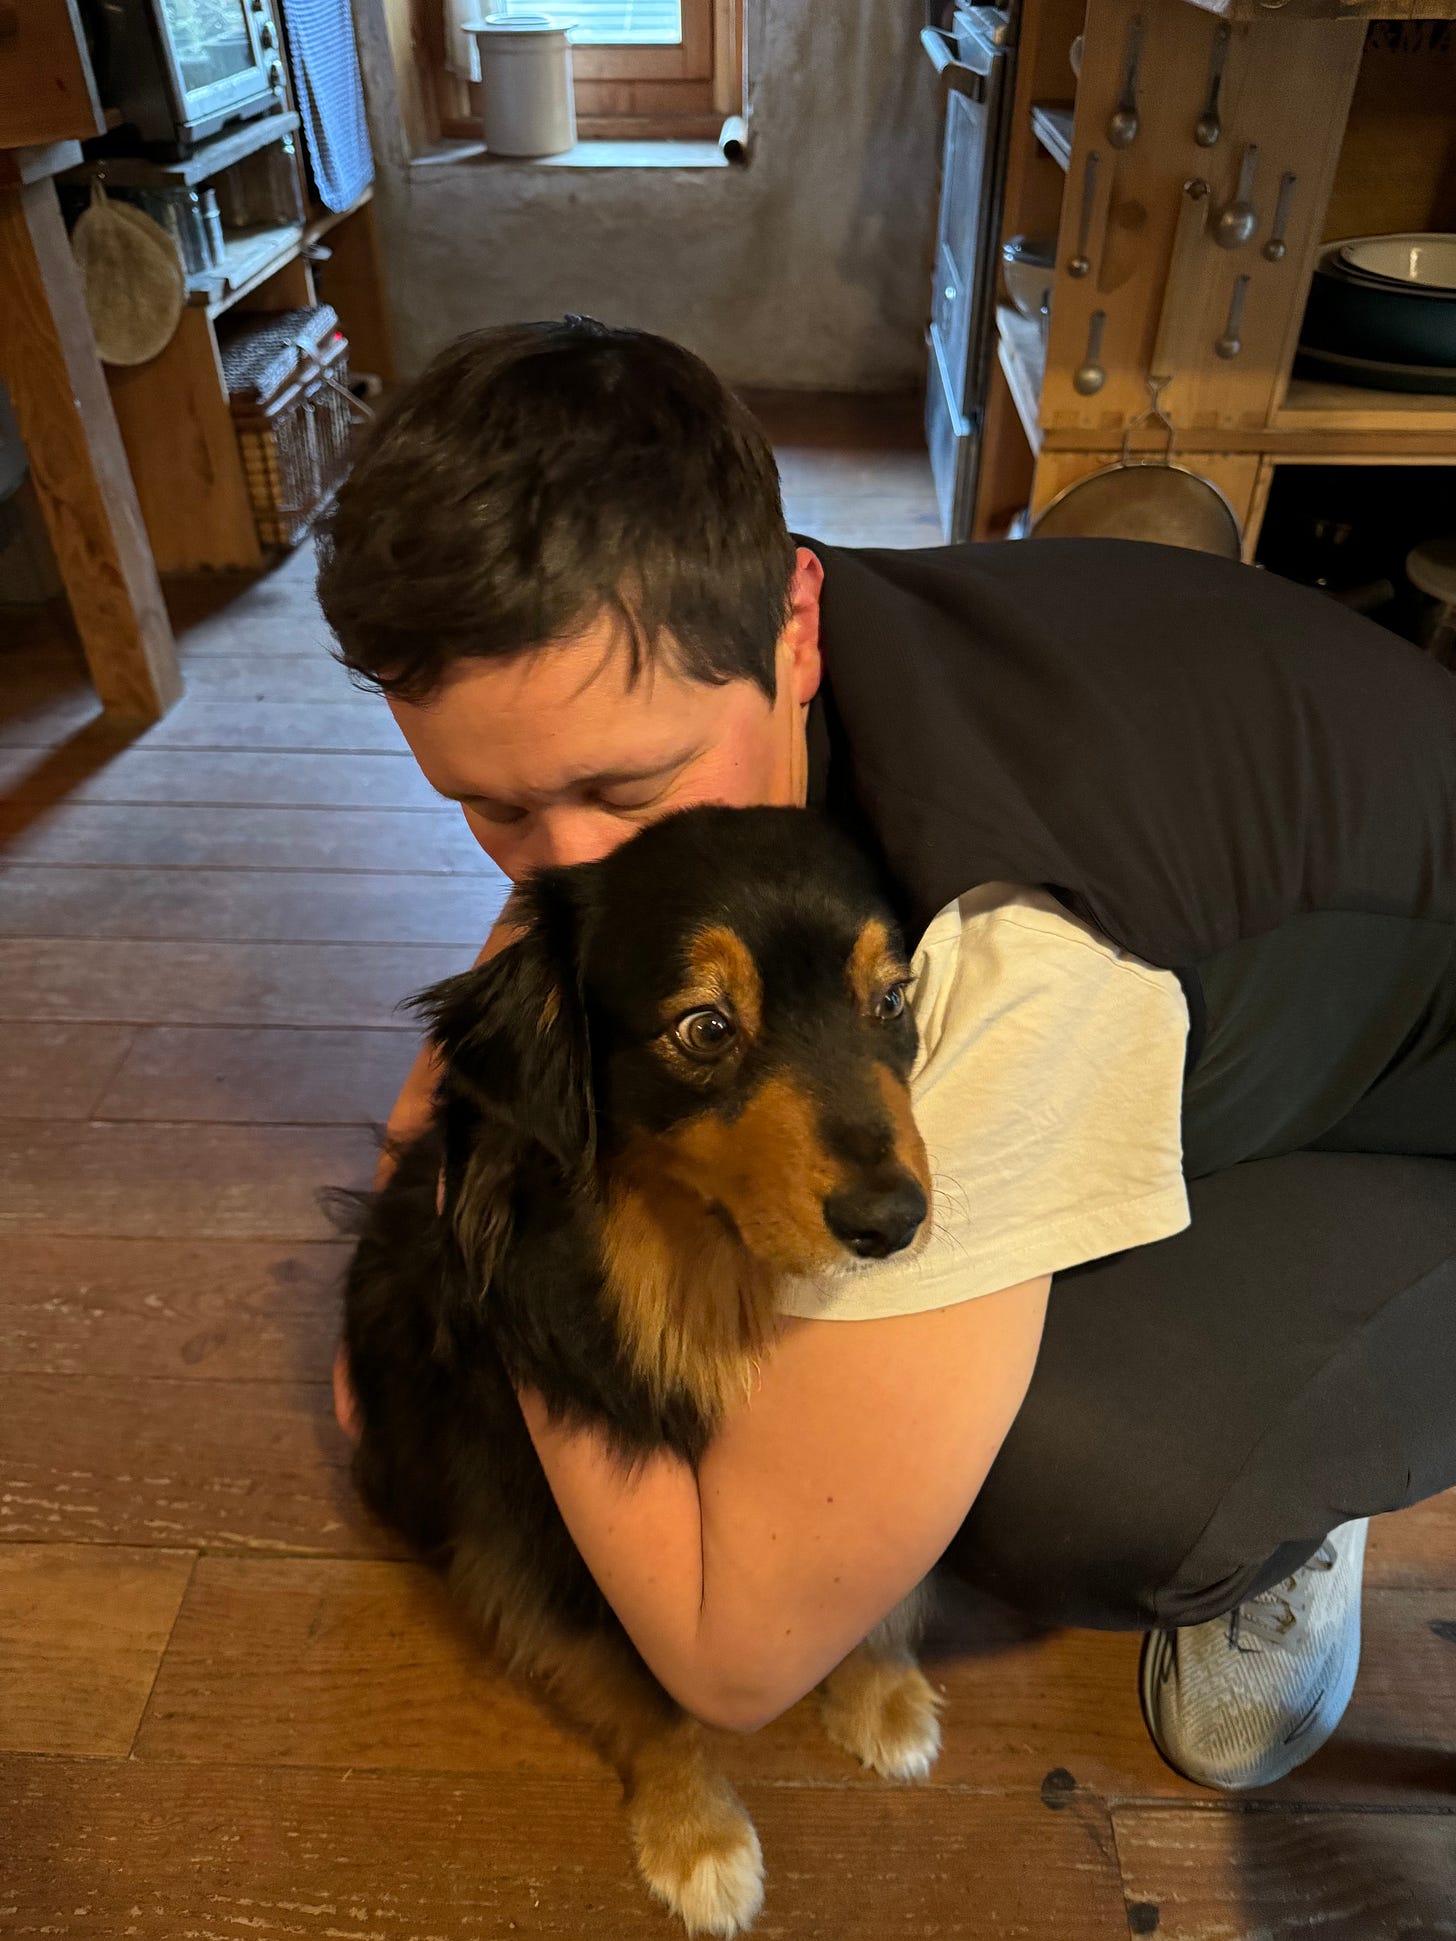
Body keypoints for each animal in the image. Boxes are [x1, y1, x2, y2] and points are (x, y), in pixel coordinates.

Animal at [347, 799, 951, 1925]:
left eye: (891, 998)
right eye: (705, 1028)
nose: (892, 1221)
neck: (701, 1270)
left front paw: (882, 1687)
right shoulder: (535, 1518)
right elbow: (636, 1686)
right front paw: (695, 1834)